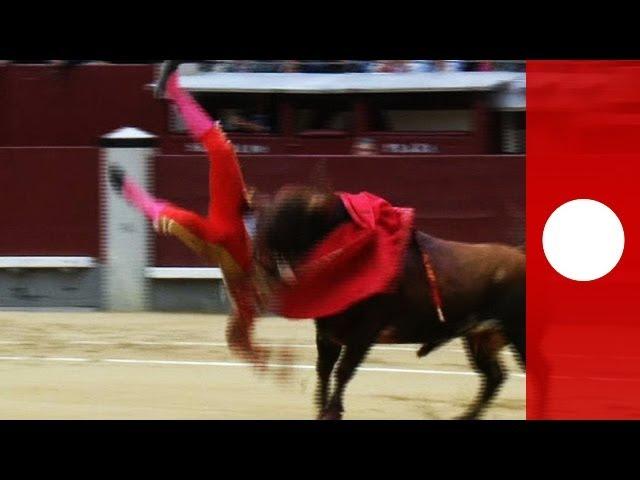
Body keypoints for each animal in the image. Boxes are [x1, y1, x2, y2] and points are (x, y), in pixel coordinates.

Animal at [251, 186, 524, 418]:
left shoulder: (364, 332)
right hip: (481, 336)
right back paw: (464, 417)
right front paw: (322, 411)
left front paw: (332, 411)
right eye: (268, 217)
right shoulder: (327, 331)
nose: (261, 261)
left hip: (517, 332)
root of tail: (520, 254)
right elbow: (324, 369)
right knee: (494, 376)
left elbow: (343, 370)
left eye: (289, 218)